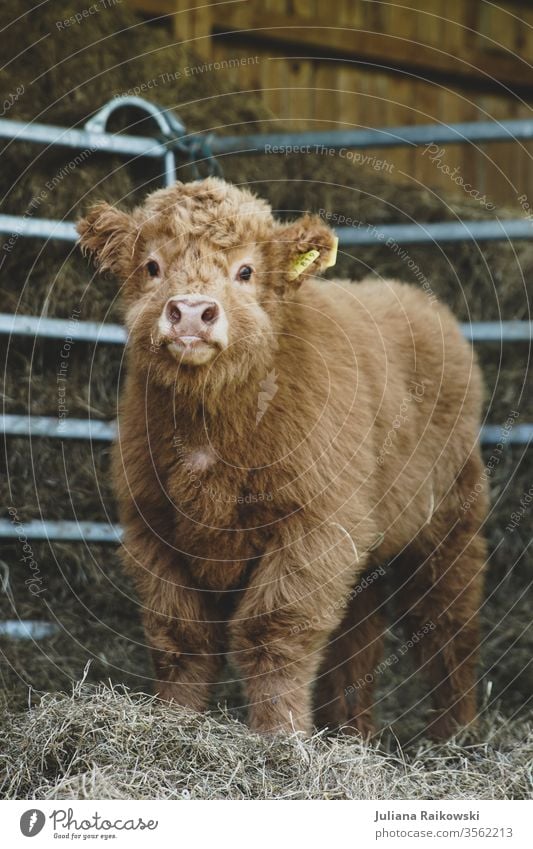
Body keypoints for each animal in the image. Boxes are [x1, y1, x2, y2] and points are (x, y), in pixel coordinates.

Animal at [77, 177, 488, 736]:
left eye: (246, 271)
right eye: (152, 266)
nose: (191, 312)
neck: (210, 437)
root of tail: (420, 302)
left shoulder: (314, 528)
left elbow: (272, 636)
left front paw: (279, 738)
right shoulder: (152, 528)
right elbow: (181, 639)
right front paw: (172, 726)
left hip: (447, 524)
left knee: (447, 626)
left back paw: (455, 736)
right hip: (364, 541)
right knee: (357, 639)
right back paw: (351, 735)